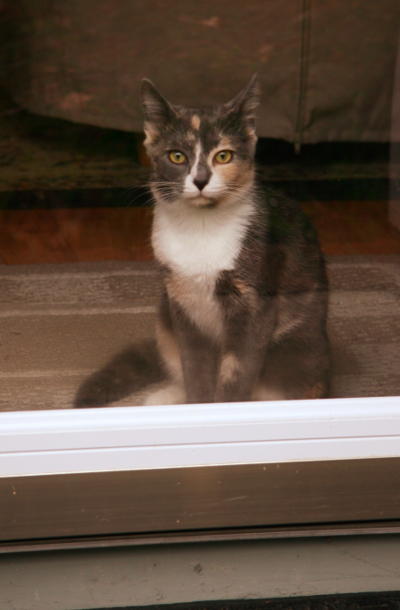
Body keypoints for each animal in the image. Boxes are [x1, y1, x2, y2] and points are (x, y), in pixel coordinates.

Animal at [73, 76, 330, 408]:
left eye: (223, 156)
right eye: (177, 156)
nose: (200, 180)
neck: (201, 228)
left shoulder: (253, 303)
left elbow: (236, 371)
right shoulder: (182, 304)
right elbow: (194, 367)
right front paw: (197, 404)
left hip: (302, 352)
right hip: (164, 320)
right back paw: (162, 398)